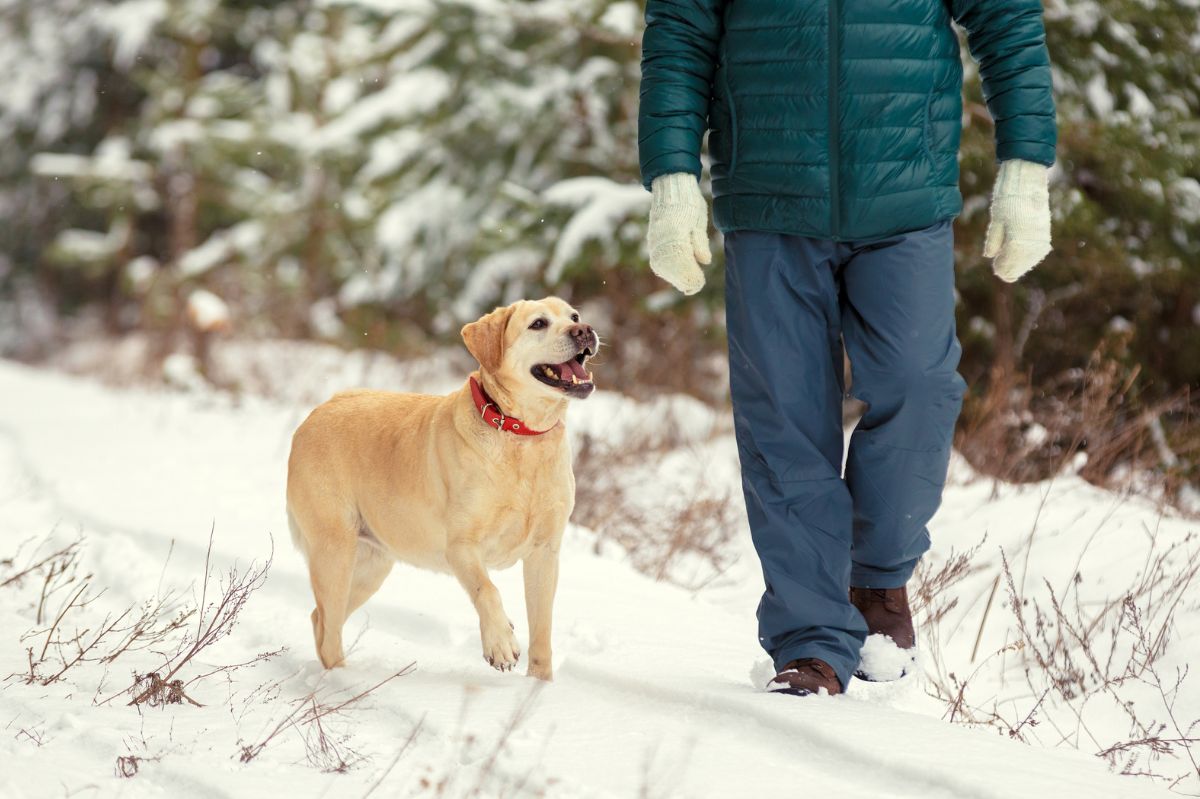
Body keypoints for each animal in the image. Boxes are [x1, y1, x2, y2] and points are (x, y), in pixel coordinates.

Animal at [285, 298, 595, 676]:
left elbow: (542, 631)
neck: (520, 435)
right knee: (328, 630)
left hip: (371, 566)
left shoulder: (544, 553)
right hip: (334, 552)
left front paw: (539, 684)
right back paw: (343, 681)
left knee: (321, 619)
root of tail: (316, 412)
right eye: (538, 323)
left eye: (574, 316)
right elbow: (487, 589)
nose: (585, 330)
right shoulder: (461, 546)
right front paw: (501, 643)